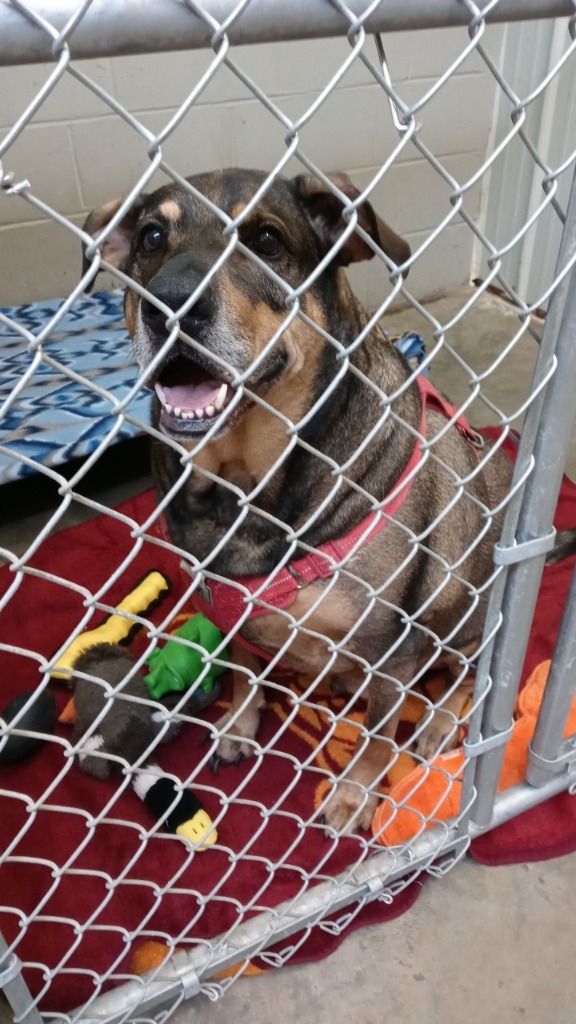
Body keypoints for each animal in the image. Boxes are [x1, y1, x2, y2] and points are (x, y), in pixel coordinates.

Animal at [80, 172, 510, 835]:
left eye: (266, 240)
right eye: (152, 236)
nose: (170, 303)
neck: (241, 485)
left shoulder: (391, 650)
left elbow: (378, 738)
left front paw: (355, 795)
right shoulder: (228, 609)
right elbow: (242, 671)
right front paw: (238, 723)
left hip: (468, 617)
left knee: (467, 676)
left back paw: (438, 722)